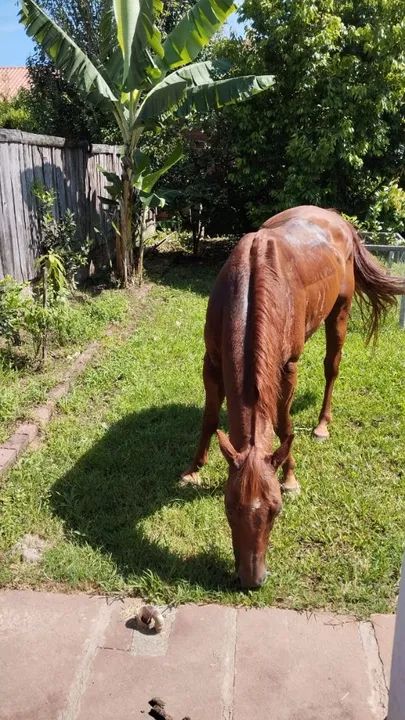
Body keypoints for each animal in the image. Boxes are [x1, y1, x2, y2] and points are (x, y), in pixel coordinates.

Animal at [182, 205, 405, 589]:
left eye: (275, 511)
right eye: (228, 507)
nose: (252, 579)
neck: (250, 282)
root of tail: (334, 217)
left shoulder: (287, 368)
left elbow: (283, 425)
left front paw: (290, 477)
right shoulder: (211, 361)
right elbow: (209, 418)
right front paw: (193, 470)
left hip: (340, 312)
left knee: (332, 368)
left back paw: (322, 425)